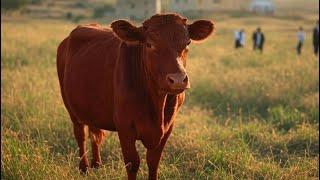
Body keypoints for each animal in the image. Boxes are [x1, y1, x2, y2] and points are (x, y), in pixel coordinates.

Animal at [56, 13, 214, 179]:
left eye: (187, 43)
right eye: (149, 44)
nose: (178, 80)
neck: (156, 105)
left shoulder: (168, 126)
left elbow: (153, 161)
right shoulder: (125, 128)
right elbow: (132, 163)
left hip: (92, 105)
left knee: (95, 134)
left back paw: (97, 164)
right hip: (69, 106)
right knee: (80, 134)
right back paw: (84, 167)